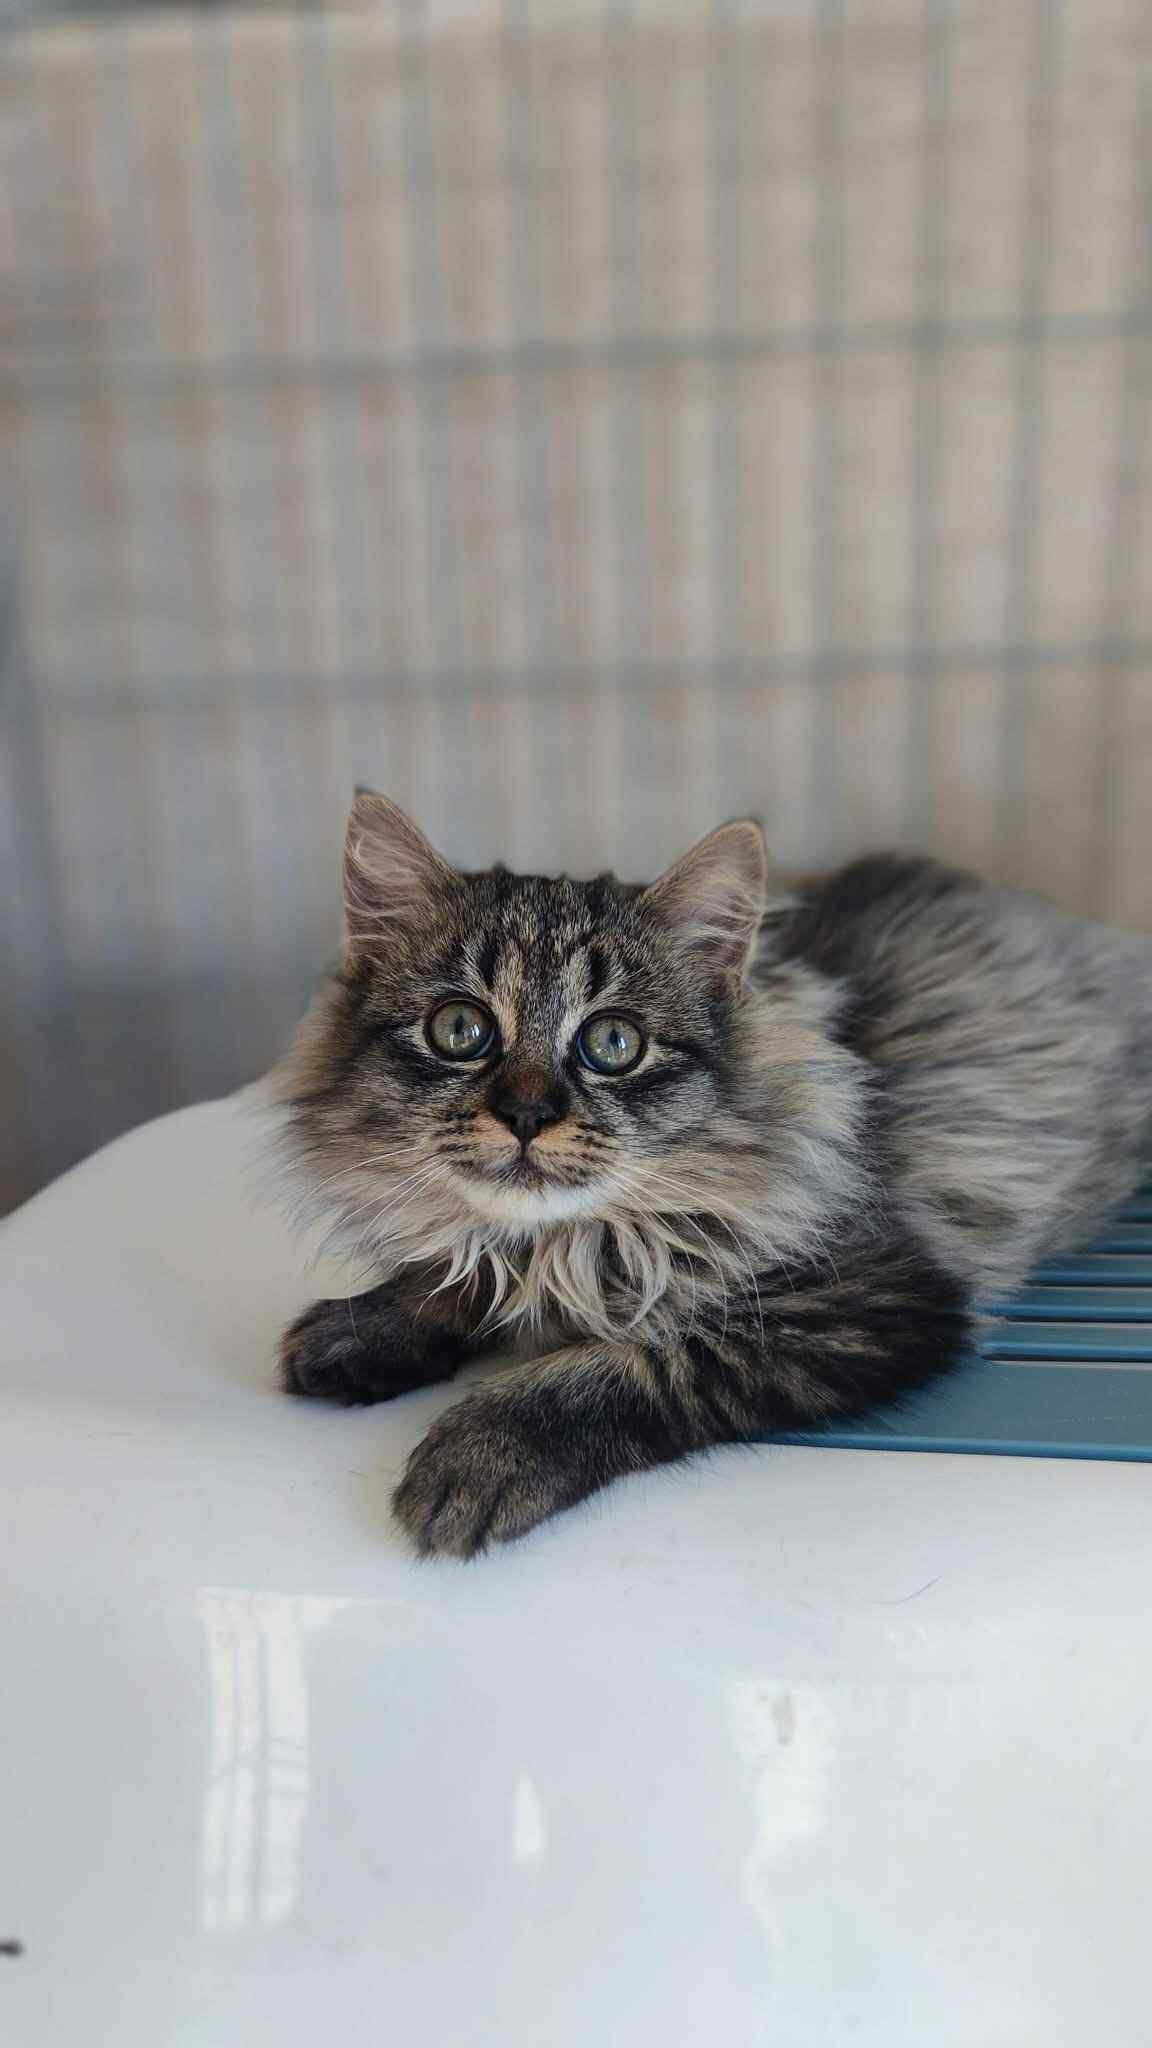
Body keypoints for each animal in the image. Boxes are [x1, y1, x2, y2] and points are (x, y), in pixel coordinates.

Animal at [277, 790, 1152, 1558]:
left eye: (613, 1044)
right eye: (460, 1030)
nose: (527, 1114)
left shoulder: (869, 1295)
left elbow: (643, 1360)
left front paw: (481, 1453)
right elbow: (461, 1274)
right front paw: (365, 1326)